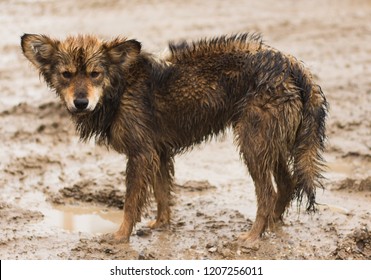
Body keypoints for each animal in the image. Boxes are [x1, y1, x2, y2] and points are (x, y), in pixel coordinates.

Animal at [20, 32, 328, 243]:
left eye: (95, 74)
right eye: (66, 74)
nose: (81, 102)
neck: (120, 88)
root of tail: (290, 64)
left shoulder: (141, 154)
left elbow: (131, 202)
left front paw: (120, 236)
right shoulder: (158, 152)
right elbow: (162, 193)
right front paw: (161, 225)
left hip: (253, 142)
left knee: (268, 193)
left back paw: (252, 236)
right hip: (269, 143)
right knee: (287, 184)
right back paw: (272, 226)